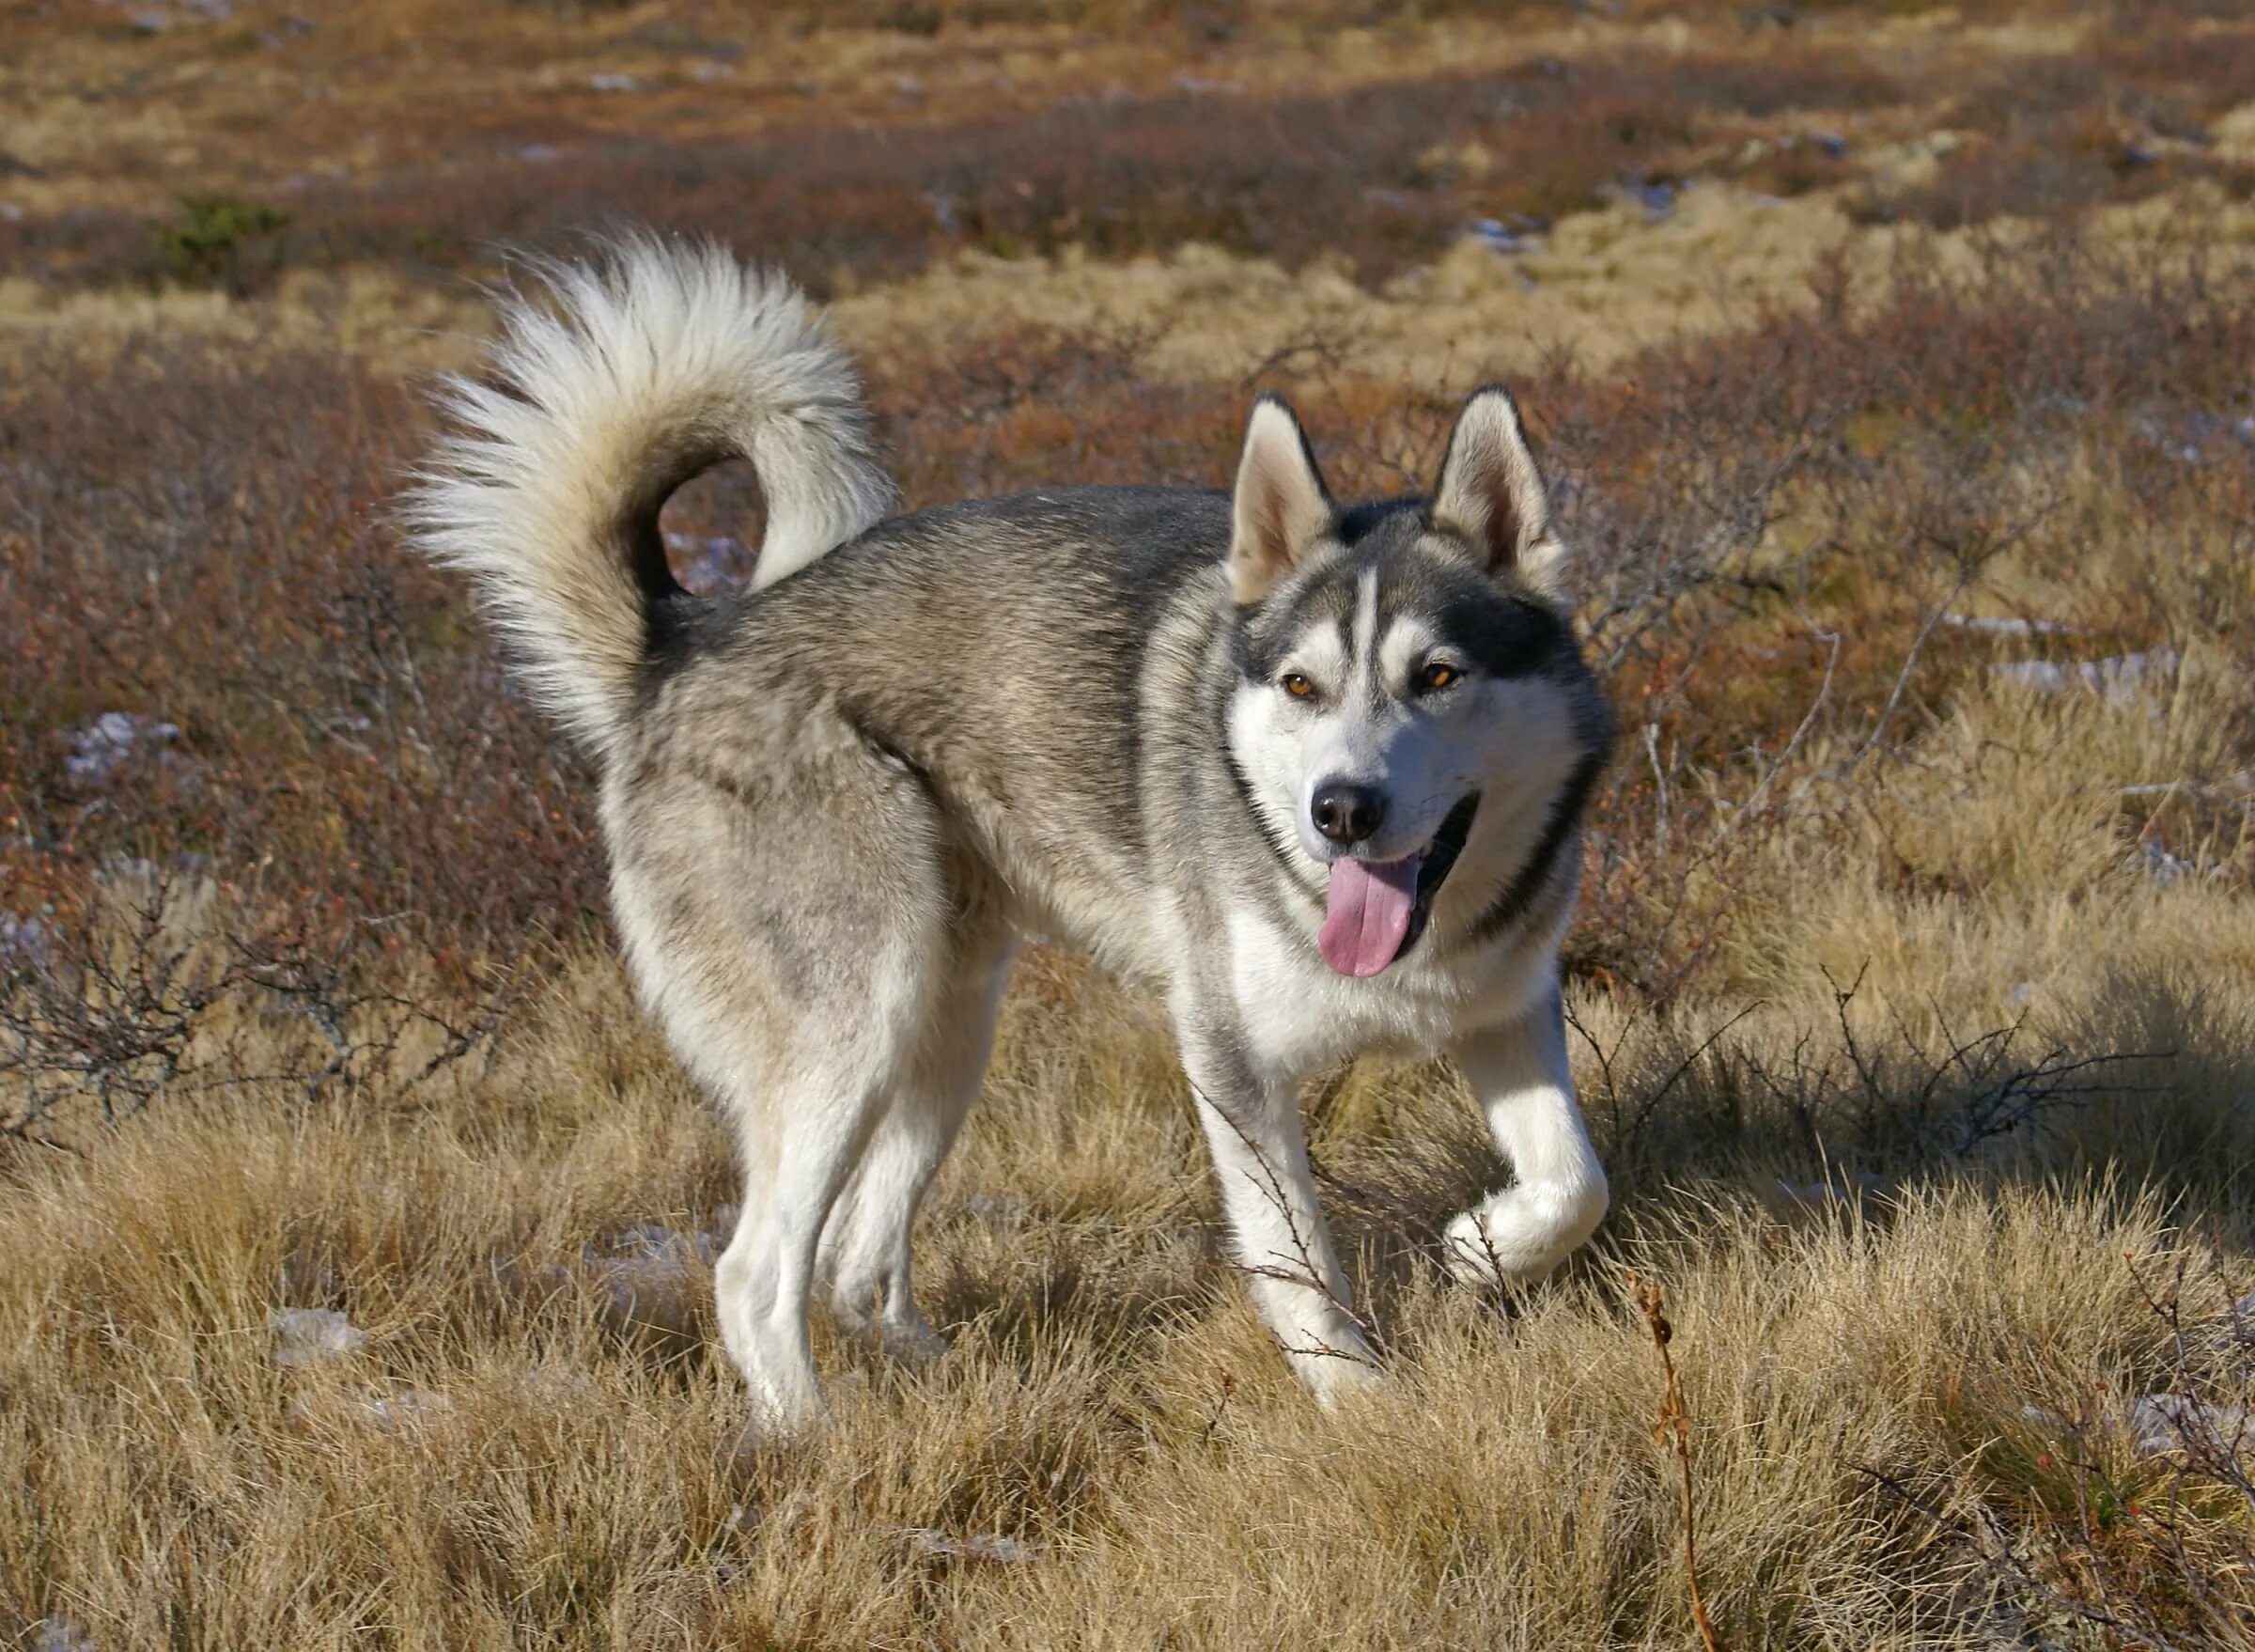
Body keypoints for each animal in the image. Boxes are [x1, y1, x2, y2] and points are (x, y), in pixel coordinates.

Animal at [414, 239, 1614, 1426]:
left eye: (1438, 676)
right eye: (1302, 685)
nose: (1342, 810)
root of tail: (680, 649)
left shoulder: (1505, 1008)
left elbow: (1576, 1184)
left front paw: (1481, 1248)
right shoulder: (1234, 1065)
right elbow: (1302, 1274)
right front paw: (1366, 1409)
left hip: (945, 1020)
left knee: (855, 1269)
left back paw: (946, 1389)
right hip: (852, 1024)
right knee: (755, 1277)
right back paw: (820, 1445)